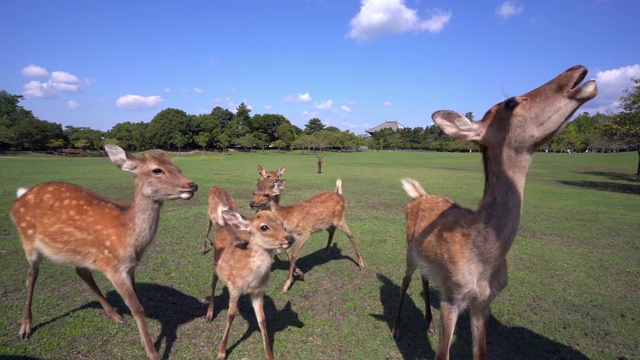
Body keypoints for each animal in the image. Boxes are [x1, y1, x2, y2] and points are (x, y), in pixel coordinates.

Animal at [9, 143, 198, 360]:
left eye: (177, 168)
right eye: (157, 170)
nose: (192, 185)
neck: (129, 240)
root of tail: (18, 199)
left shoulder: (130, 266)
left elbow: (137, 301)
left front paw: (144, 343)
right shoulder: (113, 267)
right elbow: (137, 308)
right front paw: (152, 352)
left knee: (81, 271)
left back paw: (115, 315)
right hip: (29, 241)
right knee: (32, 274)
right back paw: (24, 329)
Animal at [206, 204, 294, 360]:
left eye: (281, 223)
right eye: (264, 227)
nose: (289, 238)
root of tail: (223, 225)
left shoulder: (258, 292)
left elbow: (262, 319)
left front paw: (269, 355)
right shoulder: (234, 288)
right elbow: (230, 316)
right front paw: (221, 352)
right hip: (215, 264)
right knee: (213, 284)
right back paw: (209, 315)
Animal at [392, 65, 596, 360]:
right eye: (511, 102)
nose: (577, 70)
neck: (484, 263)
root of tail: (418, 195)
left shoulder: (484, 301)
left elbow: (481, 353)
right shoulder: (453, 295)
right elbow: (442, 355)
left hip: (426, 261)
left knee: (425, 278)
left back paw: (428, 323)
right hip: (408, 249)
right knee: (405, 280)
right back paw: (396, 329)